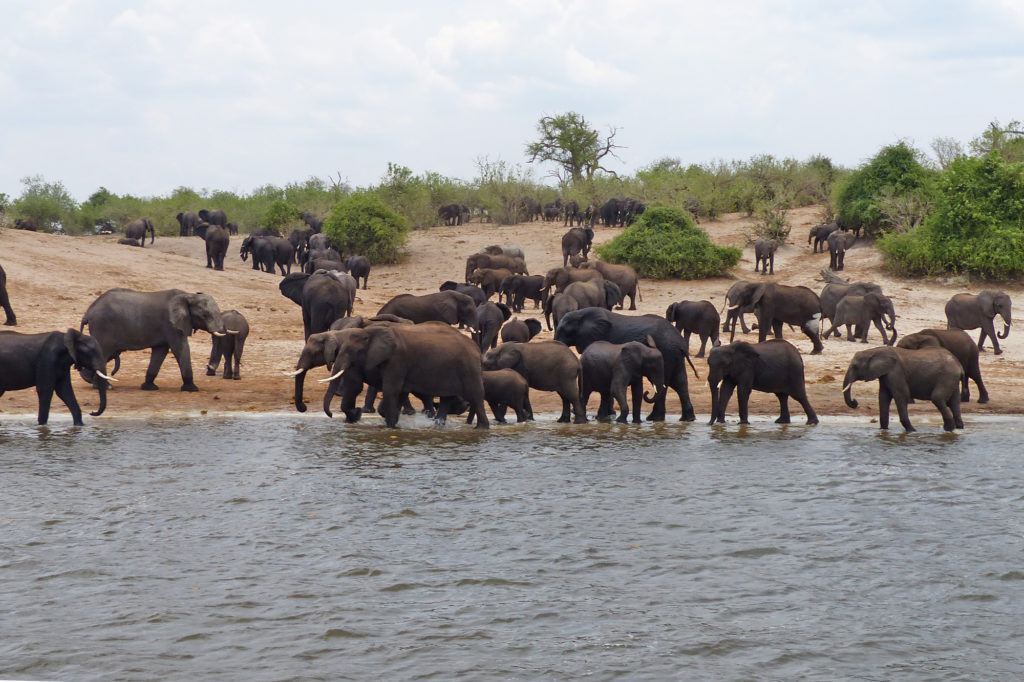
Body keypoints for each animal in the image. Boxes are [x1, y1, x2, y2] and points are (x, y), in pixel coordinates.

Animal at [80, 288, 233, 391]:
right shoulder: (171, 325)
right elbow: (180, 348)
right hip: (102, 327)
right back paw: (105, 387)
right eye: (205, 315)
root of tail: (88, 312)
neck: (189, 295)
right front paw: (192, 389)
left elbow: (160, 352)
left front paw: (149, 387)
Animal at [320, 323, 489, 428]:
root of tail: (477, 349)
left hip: (469, 368)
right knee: (447, 399)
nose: (331, 415)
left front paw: (390, 427)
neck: (370, 332)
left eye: (351, 351)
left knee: (476, 396)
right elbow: (397, 391)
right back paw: (438, 425)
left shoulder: (397, 359)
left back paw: (481, 428)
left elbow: (391, 390)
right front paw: (392, 423)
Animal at [554, 307, 698, 421]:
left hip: (667, 353)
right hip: (675, 356)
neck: (580, 314)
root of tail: (680, 343)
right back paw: (686, 419)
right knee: (679, 382)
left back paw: (655, 418)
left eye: (563, 330)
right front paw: (607, 416)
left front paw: (607, 415)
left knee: (667, 383)